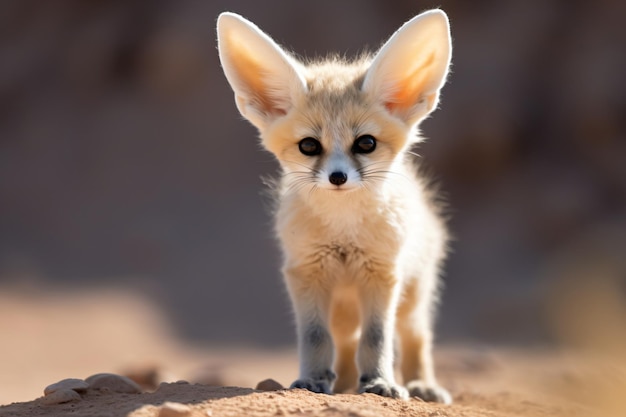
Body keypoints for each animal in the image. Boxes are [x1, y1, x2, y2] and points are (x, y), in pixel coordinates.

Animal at [217, 8, 450, 402]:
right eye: (309, 146)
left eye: (366, 143)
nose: (337, 177)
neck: (343, 234)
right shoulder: (306, 272)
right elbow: (315, 337)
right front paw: (312, 380)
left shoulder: (381, 274)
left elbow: (377, 337)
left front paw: (380, 382)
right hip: (343, 309)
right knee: (344, 342)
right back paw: (342, 384)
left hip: (412, 297)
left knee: (415, 338)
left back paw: (422, 384)